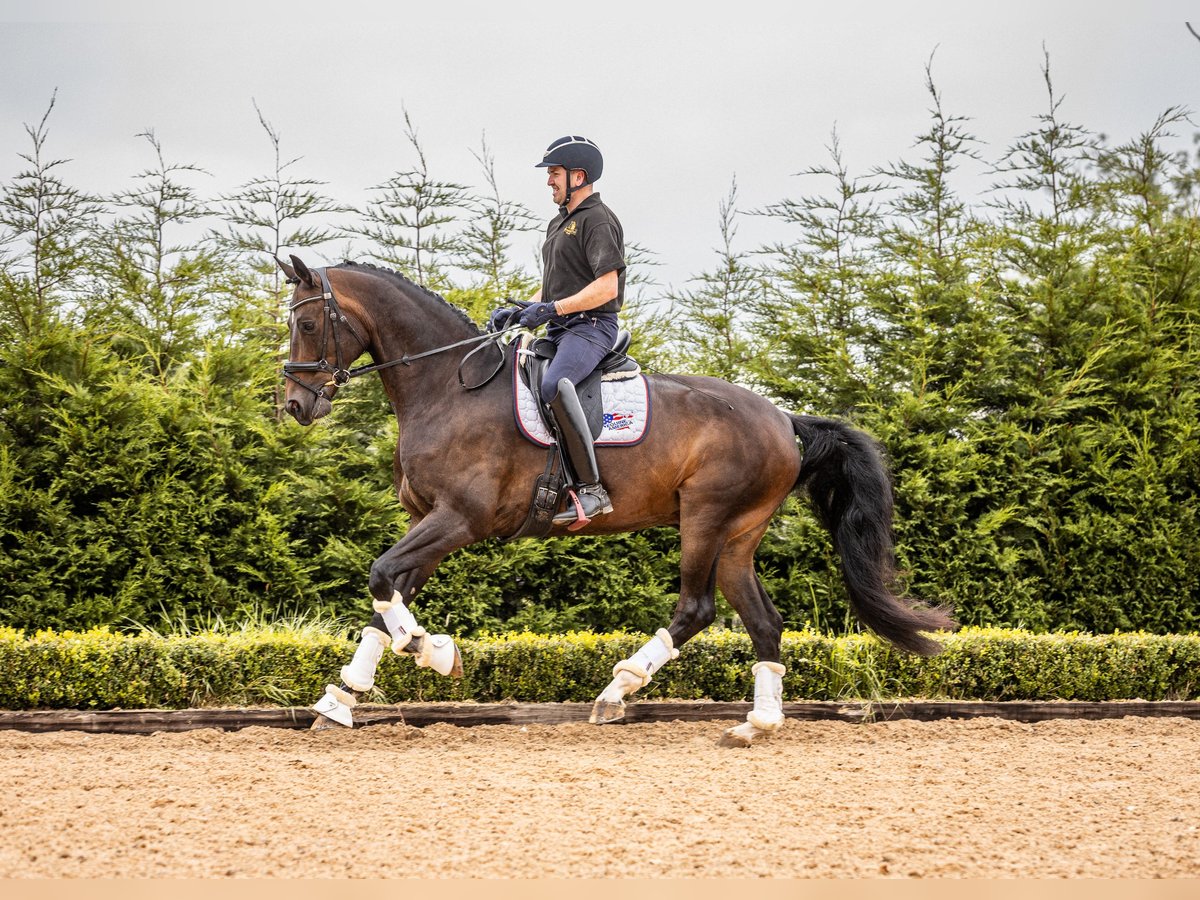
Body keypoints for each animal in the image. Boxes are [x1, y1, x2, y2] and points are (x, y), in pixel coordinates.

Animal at [278, 255, 955, 748]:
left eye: (307, 324)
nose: (296, 405)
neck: (449, 388)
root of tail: (783, 419)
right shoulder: (429, 521)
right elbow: (384, 598)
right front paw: (340, 700)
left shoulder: (458, 520)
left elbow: (380, 577)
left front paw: (434, 652)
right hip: (738, 534)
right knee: (763, 620)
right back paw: (755, 723)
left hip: (704, 518)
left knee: (696, 608)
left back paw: (618, 691)